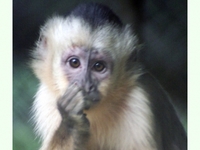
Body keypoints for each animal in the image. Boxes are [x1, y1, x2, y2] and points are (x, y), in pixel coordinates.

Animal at [30, 2, 187, 150]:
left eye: (98, 66)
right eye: (74, 63)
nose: (85, 85)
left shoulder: (139, 102)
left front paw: (70, 121)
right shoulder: (46, 99)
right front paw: (71, 124)